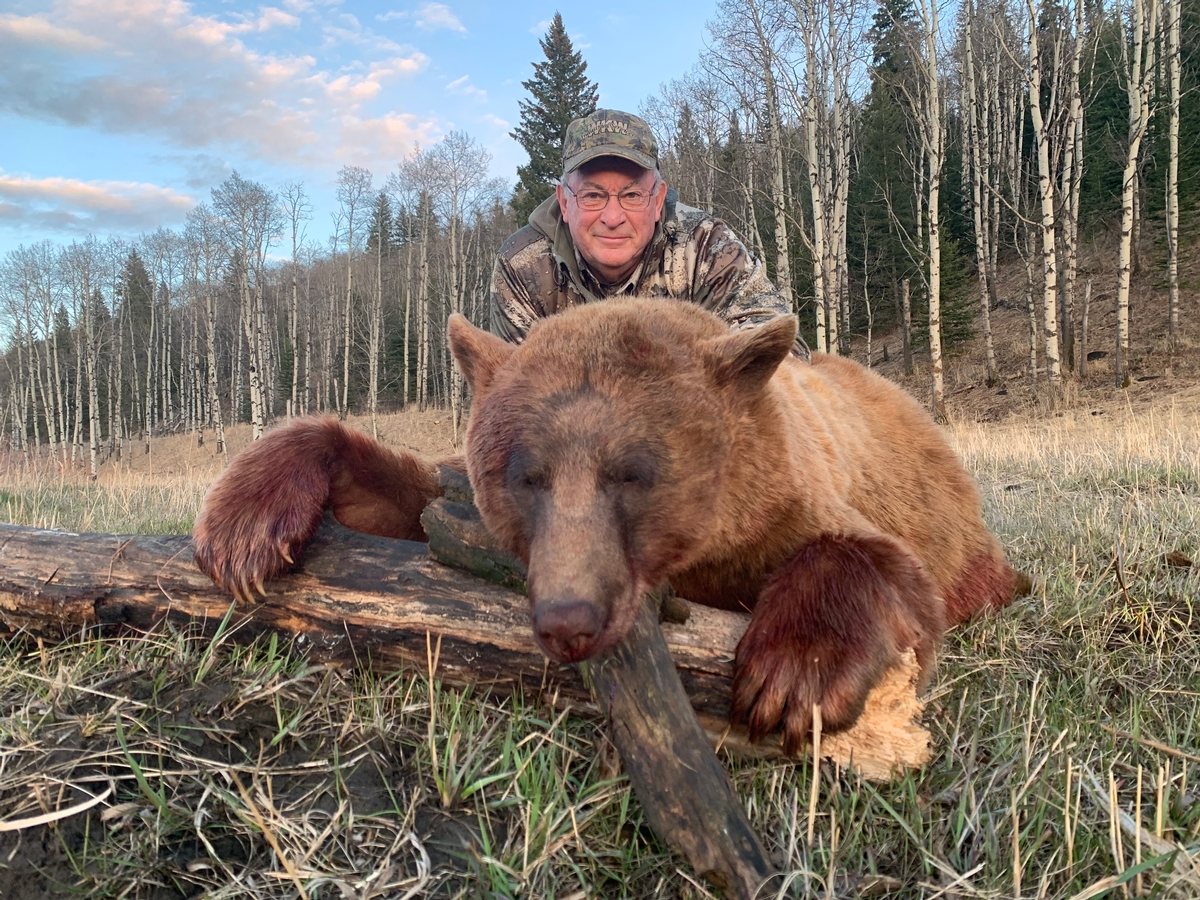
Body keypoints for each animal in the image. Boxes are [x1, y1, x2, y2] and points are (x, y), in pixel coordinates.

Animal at [194, 297, 1022, 753]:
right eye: (525, 476)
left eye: (633, 473)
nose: (569, 620)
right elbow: (405, 498)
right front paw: (244, 527)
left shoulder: (784, 502)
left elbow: (891, 566)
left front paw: (794, 676)